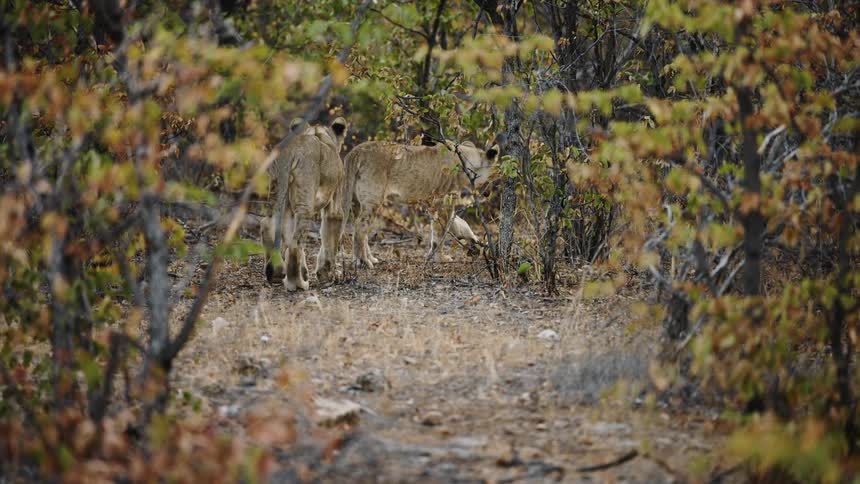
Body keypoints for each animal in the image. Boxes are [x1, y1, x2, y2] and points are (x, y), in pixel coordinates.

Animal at [264, 116, 348, 291]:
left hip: (277, 193)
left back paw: (276, 275)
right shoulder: (335, 202)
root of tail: (291, 152)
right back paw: (297, 283)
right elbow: (330, 237)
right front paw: (326, 274)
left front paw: (307, 272)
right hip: (305, 201)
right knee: (295, 243)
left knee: (267, 224)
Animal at [342, 140, 499, 268]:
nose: (489, 193)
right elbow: (441, 232)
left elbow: (456, 224)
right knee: (359, 228)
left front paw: (475, 241)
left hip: (357, 202)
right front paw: (440, 258)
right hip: (373, 200)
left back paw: (366, 259)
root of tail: (355, 151)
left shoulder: (435, 204)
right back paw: (363, 262)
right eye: (493, 176)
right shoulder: (443, 201)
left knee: (359, 229)